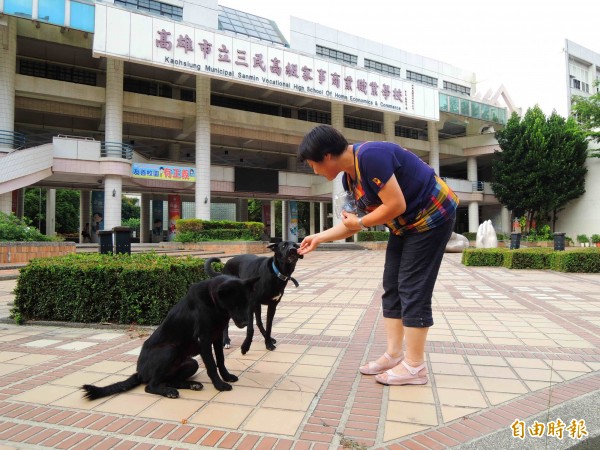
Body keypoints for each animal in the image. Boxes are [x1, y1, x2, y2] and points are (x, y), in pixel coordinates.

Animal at [81, 272, 258, 400]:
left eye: (247, 303)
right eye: (235, 304)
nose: (246, 323)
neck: (213, 303)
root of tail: (139, 372)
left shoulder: (217, 337)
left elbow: (220, 361)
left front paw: (226, 377)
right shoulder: (204, 340)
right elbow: (212, 365)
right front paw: (219, 385)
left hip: (191, 363)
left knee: (169, 381)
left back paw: (190, 385)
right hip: (169, 350)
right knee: (150, 386)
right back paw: (169, 392)